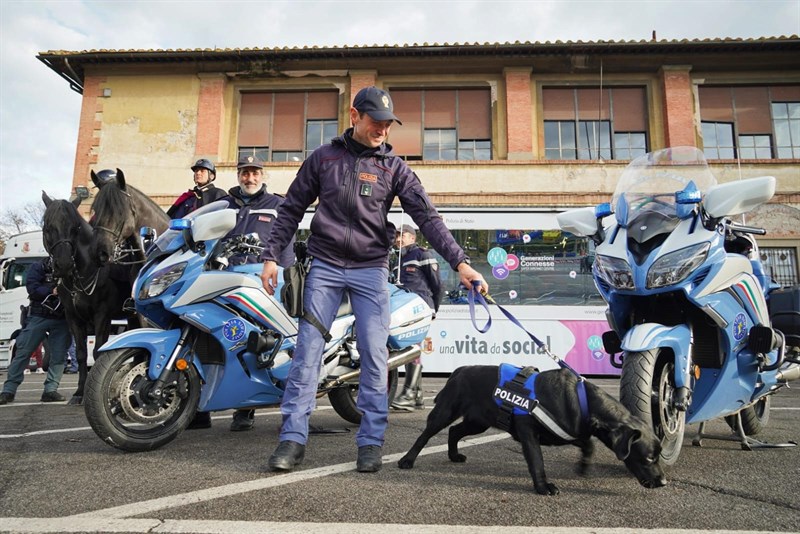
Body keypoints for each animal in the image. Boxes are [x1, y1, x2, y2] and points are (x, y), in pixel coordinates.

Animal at [40, 193, 133, 406]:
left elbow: (98, 350)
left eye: (76, 228)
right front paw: (79, 392)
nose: (64, 265)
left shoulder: (102, 316)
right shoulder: (73, 318)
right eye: (48, 227)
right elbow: (82, 353)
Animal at [396, 366, 664, 496]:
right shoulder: (528, 432)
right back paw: (407, 460)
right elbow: (537, 461)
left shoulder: (568, 430)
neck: (585, 402)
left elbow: (588, 443)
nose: (662, 482)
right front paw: (543, 487)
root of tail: (459, 370)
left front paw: (583, 467)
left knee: (454, 431)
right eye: (649, 458)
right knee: (425, 435)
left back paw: (453, 455)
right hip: (445, 411)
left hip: (477, 421)